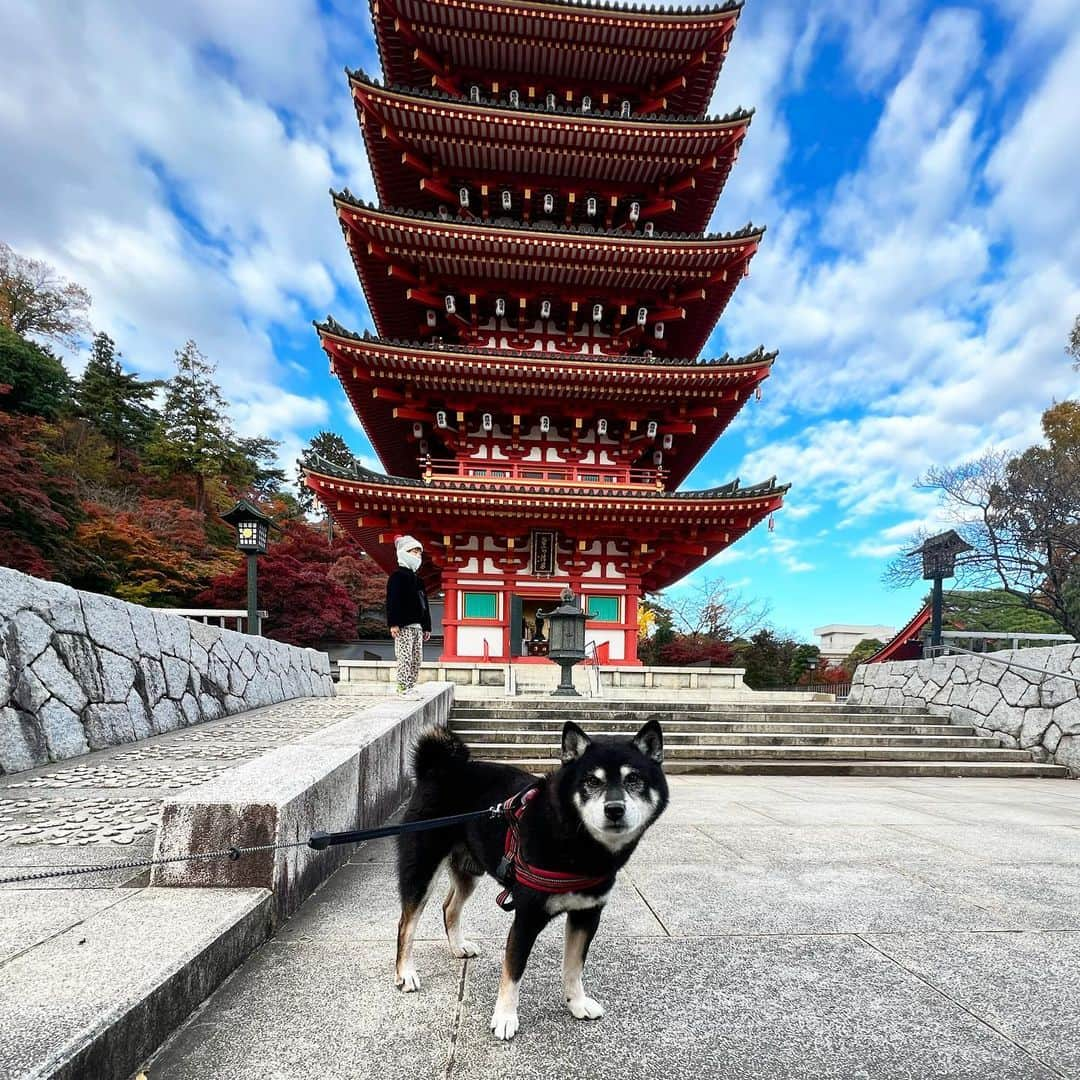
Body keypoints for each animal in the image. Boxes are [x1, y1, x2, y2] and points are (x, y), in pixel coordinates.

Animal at [395, 717, 665, 1036]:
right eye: (592, 781)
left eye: (633, 779)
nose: (614, 809)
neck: (575, 841)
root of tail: (437, 769)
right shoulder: (527, 916)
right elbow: (513, 972)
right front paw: (505, 1017)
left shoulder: (587, 914)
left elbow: (574, 967)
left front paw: (577, 1003)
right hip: (422, 869)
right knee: (407, 924)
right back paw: (405, 973)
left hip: (468, 871)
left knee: (449, 907)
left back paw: (458, 946)